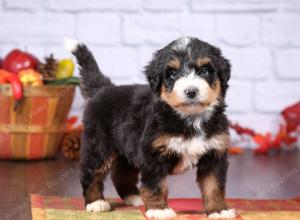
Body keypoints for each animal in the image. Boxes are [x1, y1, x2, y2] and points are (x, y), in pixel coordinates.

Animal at [65, 37, 237, 219]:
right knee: (91, 173)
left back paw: (134, 197)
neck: (190, 118)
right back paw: (96, 202)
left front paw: (218, 210)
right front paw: (159, 209)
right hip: (99, 145)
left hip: (127, 148)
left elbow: (214, 186)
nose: (191, 91)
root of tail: (103, 88)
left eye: (205, 70)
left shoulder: (215, 153)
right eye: (173, 74)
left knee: (121, 174)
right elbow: (156, 184)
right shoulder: (153, 153)